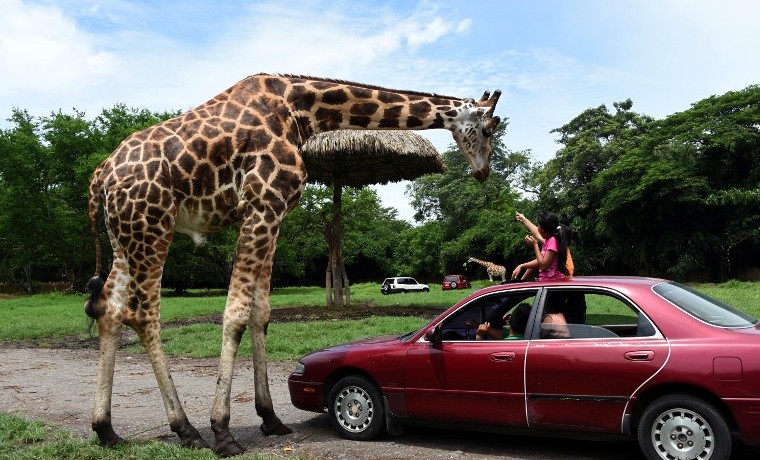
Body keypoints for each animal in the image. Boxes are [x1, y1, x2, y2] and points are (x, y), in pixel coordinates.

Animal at [84, 73, 498, 454]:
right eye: (489, 129)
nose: (482, 171)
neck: (303, 112)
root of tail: (100, 177)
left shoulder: (275, 213)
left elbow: (261, 313)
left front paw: (270, 418)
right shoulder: (261, 206)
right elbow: (236, 312)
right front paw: (223, 431)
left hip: (124, 236)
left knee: (109, 309)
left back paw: (107, 430)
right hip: (152, 226)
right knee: (143, 313)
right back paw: (187, 429)